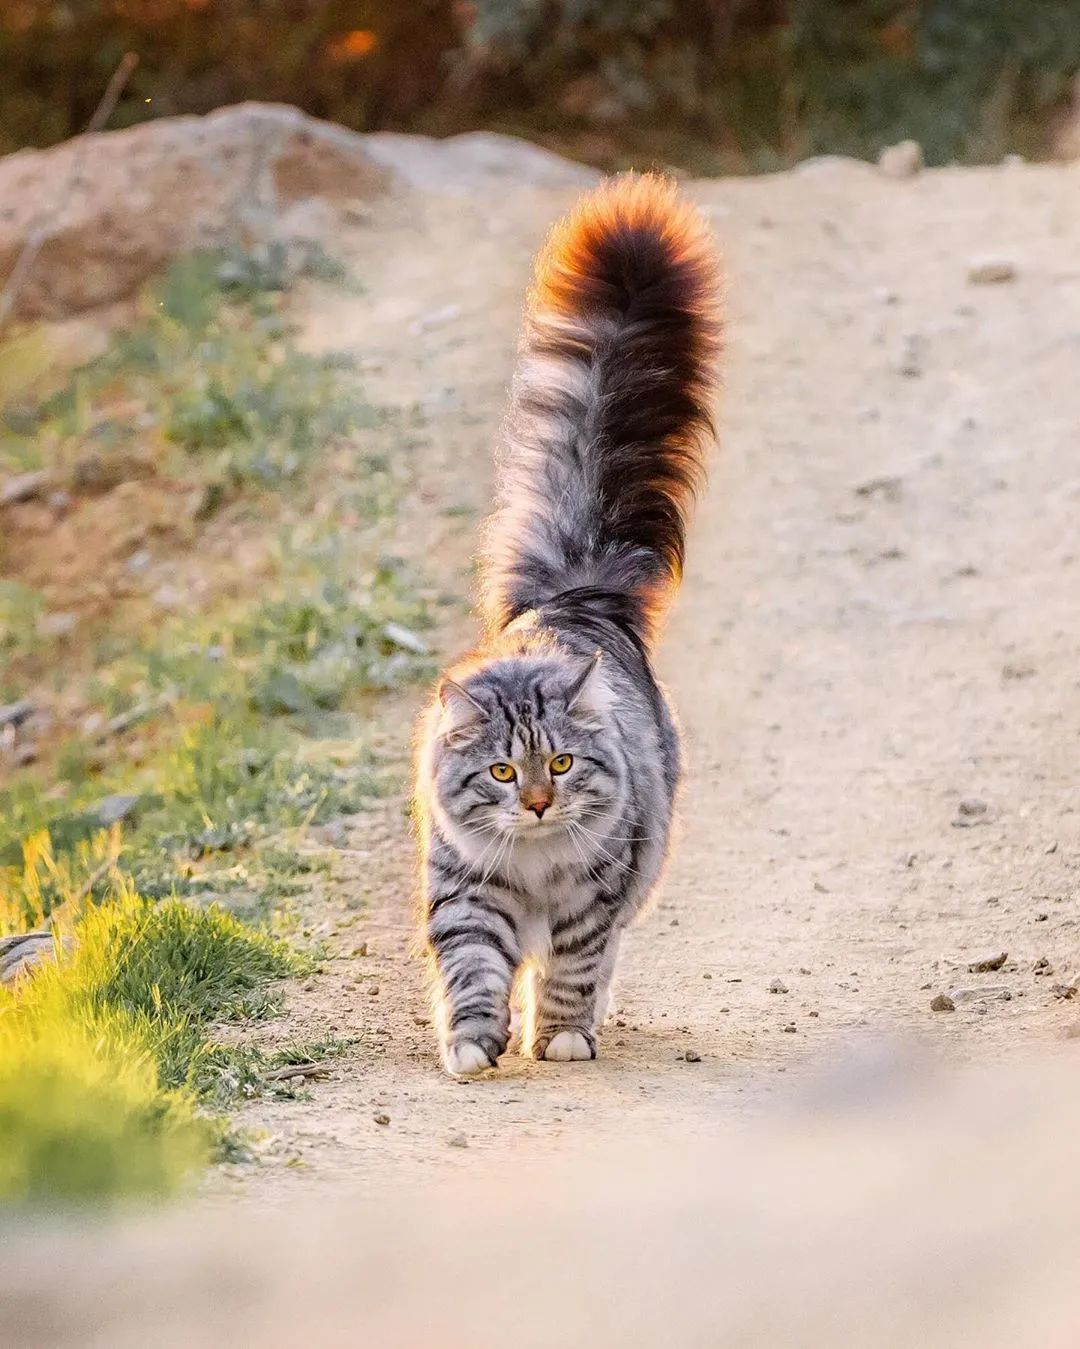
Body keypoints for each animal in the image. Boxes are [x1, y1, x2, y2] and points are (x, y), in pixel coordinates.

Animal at [417, 171, 722, 1073]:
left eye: (559, 762)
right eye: (501, 772)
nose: (539, 803)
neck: (532, 866)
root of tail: (574, 591)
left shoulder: (594, 898)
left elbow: (572, 971)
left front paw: (557, 1038)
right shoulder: (466, 896)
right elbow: (476, 973)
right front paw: (473, 1045)